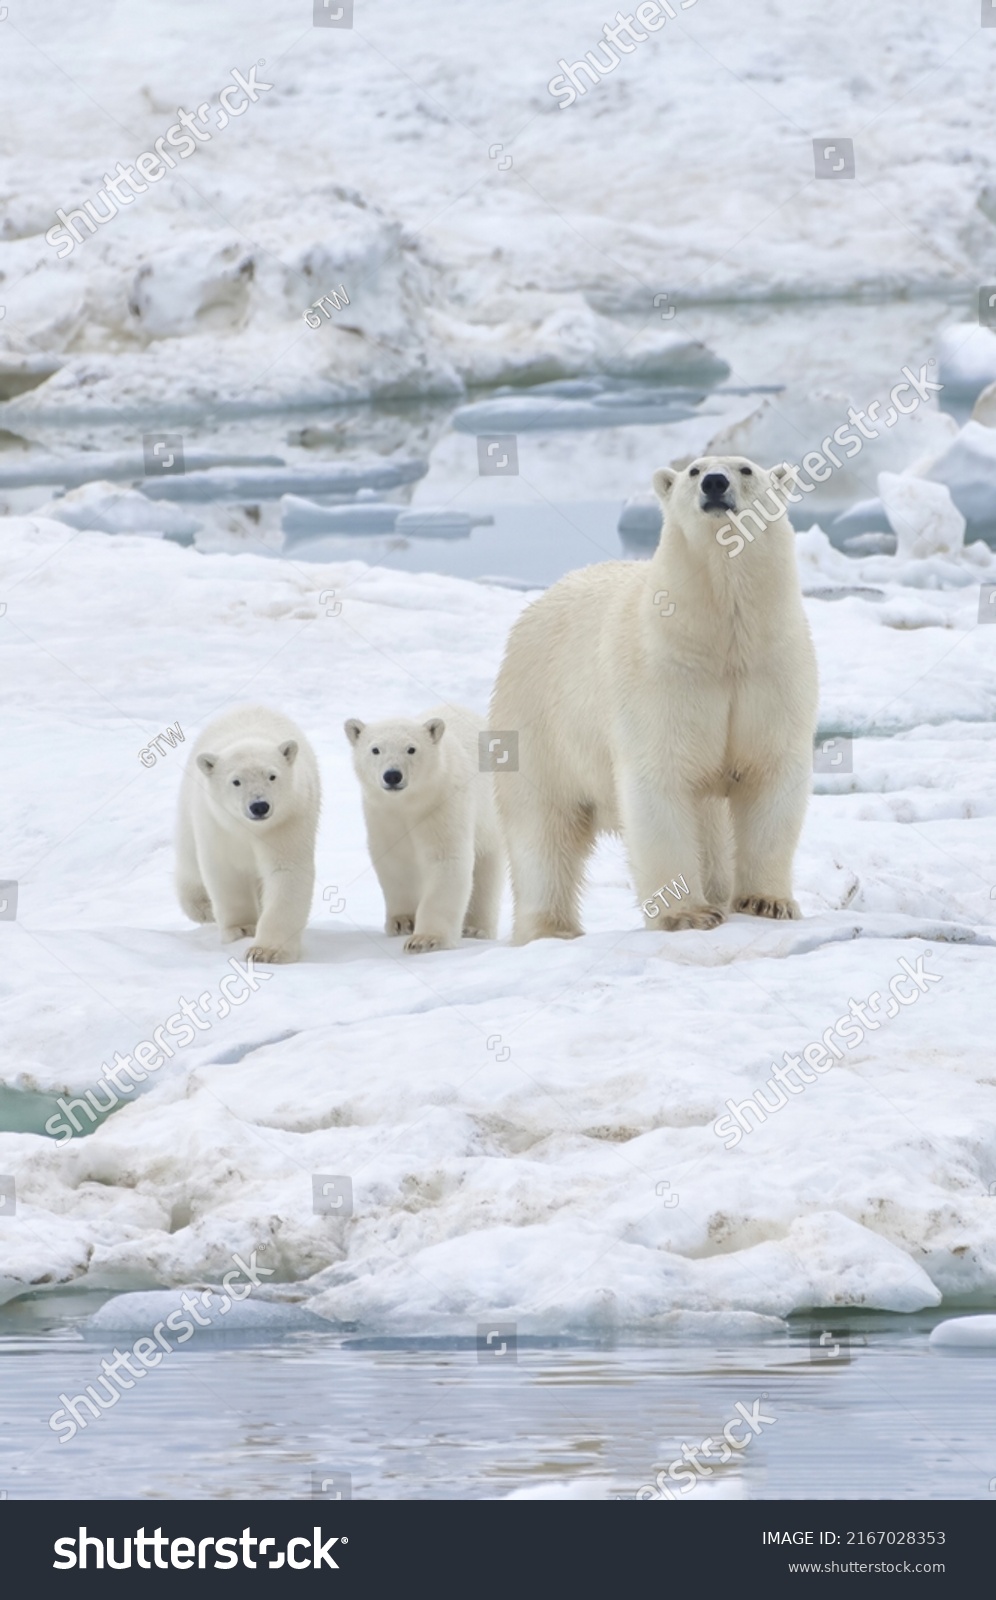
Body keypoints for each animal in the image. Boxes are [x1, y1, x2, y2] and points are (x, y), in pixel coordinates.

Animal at [493, 457, 819, 940]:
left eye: (745, 468)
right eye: (694, 470)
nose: (715, 483)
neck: (720, 641)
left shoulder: (772, 671)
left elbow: (771, 775)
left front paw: (766, 902)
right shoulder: (662, 677)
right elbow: (661, 782)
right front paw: (688, 914)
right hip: (537, 720)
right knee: (544, 827)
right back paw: (551, 928)